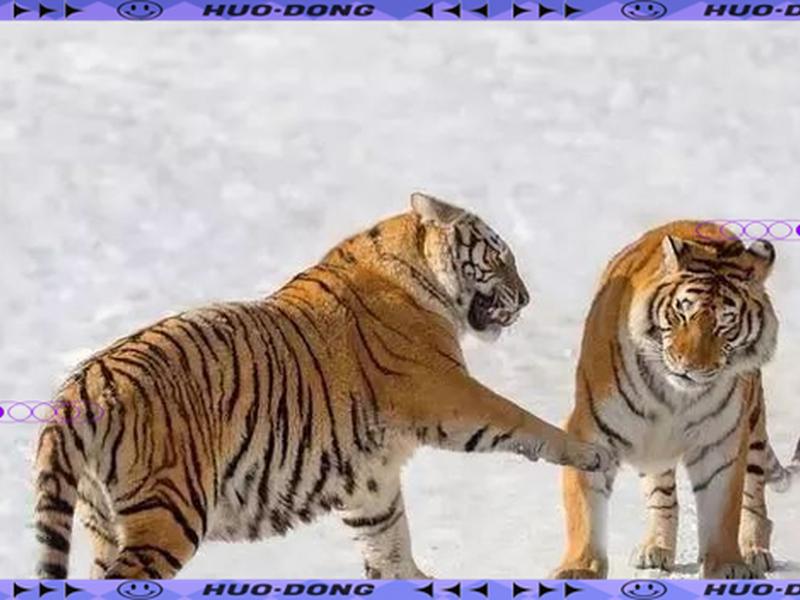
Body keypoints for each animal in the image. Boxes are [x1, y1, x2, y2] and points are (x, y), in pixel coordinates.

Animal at [33, 192, 613, 580]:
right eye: (498, 258)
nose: (527, 297)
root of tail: (78, 390)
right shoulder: (447, 393)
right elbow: (519, 417)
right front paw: (591, 453)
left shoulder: (371, 480)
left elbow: (389, 539)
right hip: (169, 510)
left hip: (103, 522)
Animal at [552, 219, 796, 580]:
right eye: (681, 313)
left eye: (726, 324)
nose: (689, 368)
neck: (675, 398)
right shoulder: (590, 434)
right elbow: (584, 511)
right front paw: (579, 569)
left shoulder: (720, 443)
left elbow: (723, 509)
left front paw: (727, 566)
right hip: (652, 445)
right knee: (662, 494)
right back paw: (655, 548)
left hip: (750, 426)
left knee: (754, 495)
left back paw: (754, 550)